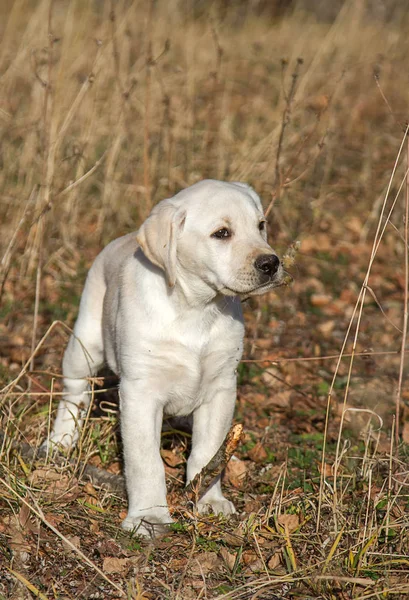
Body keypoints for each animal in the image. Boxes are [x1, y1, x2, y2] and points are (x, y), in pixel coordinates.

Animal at [43, 178, 280, 536]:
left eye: (261, 225)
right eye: (222, 233)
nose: (271, 263)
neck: (197, 307)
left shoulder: (221, 388)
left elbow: (209, 452)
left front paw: (209, 500)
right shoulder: (140, 393)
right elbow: (146, 462)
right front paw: (149, 516)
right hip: (84, 343)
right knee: (74, 392)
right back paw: (60, 441)